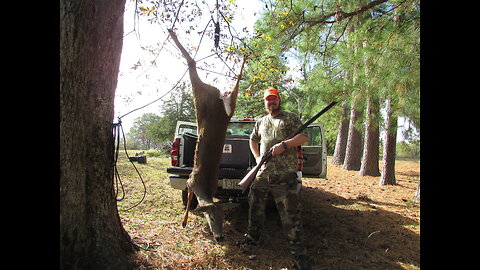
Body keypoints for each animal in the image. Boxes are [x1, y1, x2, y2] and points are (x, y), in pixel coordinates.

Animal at [168, 28, 244, 242]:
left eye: (223, 218)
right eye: (211, 218)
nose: (220, 237)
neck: (204, 187)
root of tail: (218, 98)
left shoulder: (191, 180)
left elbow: (189, 197)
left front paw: (184, 222)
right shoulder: (191, 180)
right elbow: (189, 199)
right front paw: (184, 221)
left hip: (208, 97)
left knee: (194, 65)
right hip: (208, 96)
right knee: (196, 68)